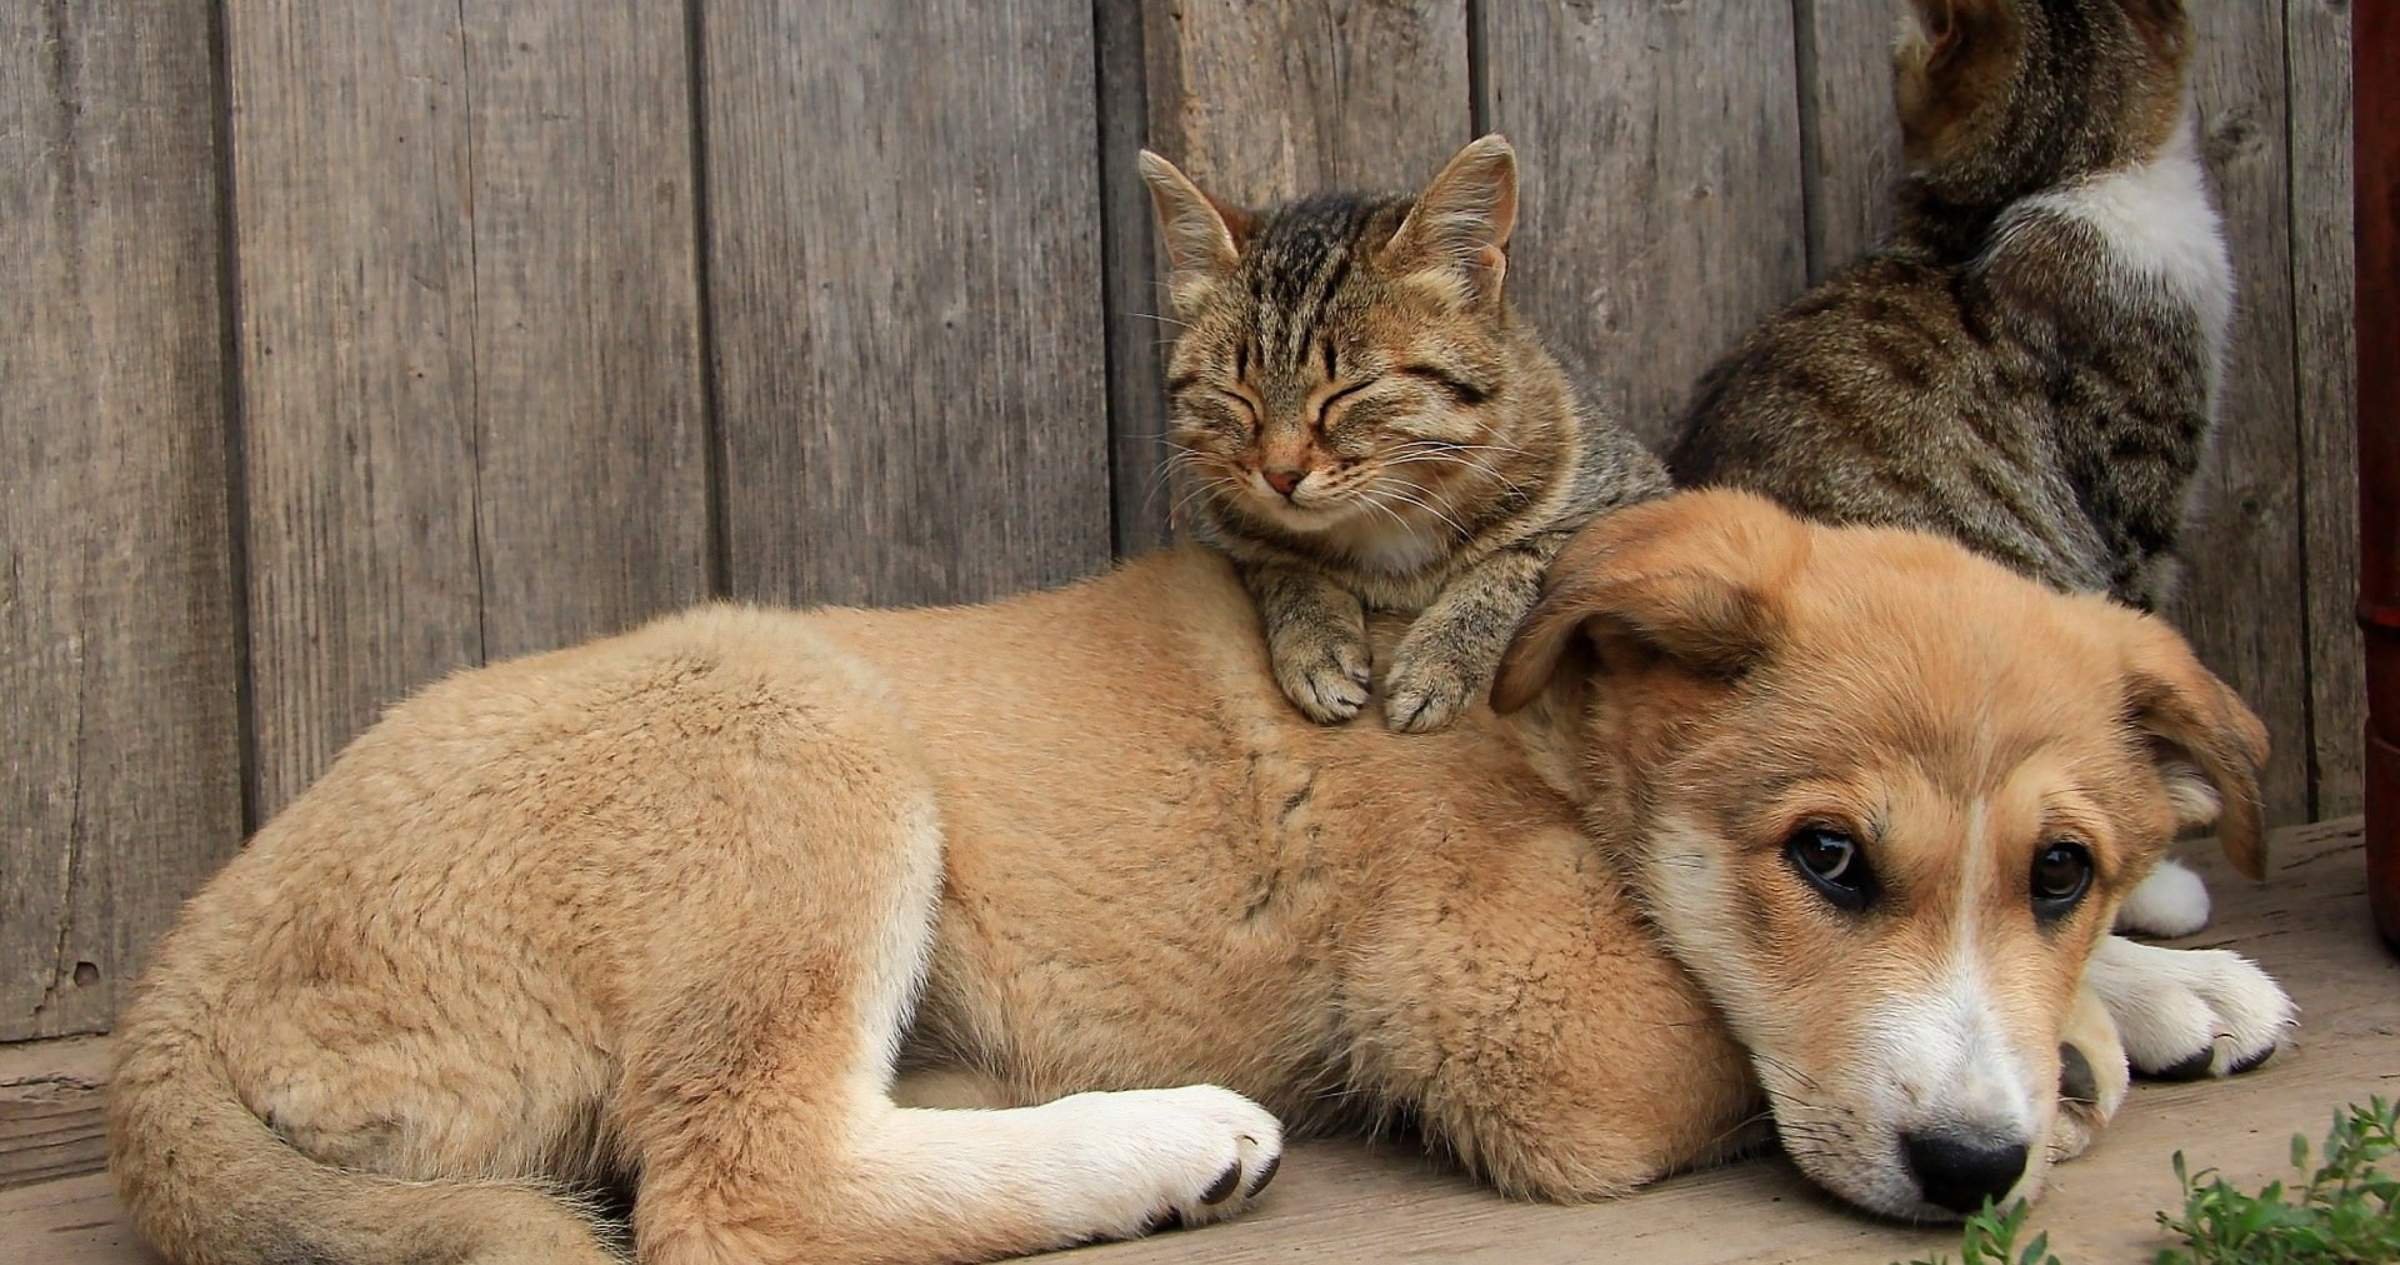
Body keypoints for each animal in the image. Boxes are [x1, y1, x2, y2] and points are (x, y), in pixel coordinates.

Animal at [108, 489, 2284, 1257]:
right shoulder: (1524, 1023)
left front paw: (2153, 989)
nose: (1972, 1169)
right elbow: (1730, 1045)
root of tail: (175, 981)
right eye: (1826, 857)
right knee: (740, 1185)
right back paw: (1158, 1143)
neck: (1559, 728)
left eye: (2066, 868)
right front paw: (2081, 1068)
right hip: (801, 717)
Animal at [1142, 135, 1670, 734]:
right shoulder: (1230, 538)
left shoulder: (1637, 500)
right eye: (1237, 395)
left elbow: (1521, 561)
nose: (1280, 476)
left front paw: (1439, 660)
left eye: (1349, 391)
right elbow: (1283, 566)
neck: (1388, 525)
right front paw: (1315, 641)